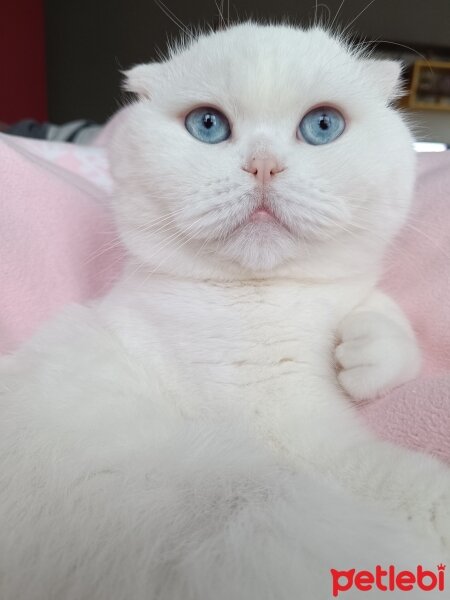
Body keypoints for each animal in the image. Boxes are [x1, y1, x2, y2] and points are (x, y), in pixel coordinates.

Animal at [0, 23, 450, 600]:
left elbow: (382, 315)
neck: (271, 298)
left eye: (323, 125)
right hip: (252, 498)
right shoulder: (298, 437)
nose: (263, 164)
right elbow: (410, 487)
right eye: (208, 125)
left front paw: (364, 354)